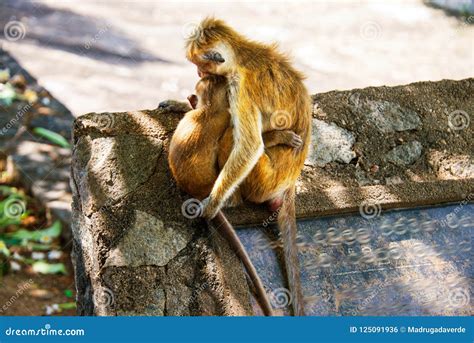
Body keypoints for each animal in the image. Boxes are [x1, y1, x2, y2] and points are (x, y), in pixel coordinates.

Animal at [185, 17, 312, 316]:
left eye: (199, 65)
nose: (197, 73)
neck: (243, 55)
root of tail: (290, 181)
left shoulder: (241, 86)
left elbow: (250, 146)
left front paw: (212, 205)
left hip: (263, 180)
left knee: (235, 137)